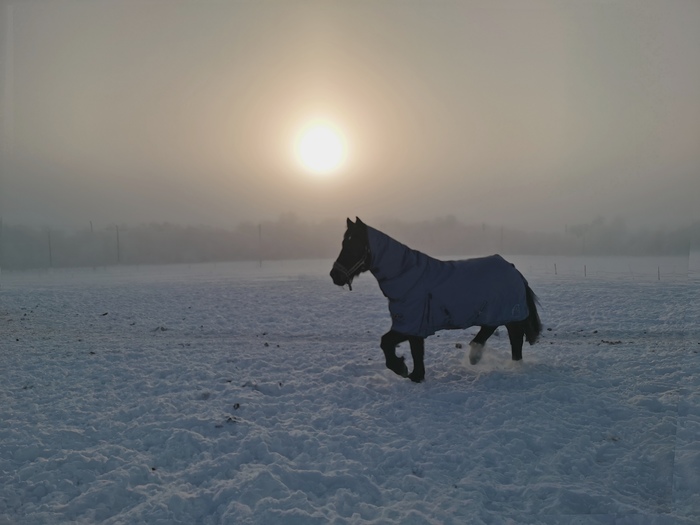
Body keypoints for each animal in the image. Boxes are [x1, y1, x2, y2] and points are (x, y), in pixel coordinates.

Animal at [328, 215, 540, 382]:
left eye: (353, 245)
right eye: (344, 244)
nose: (334, 275)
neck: (408, 276)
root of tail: (512, 268)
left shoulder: (409, 324)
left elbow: (387, 343)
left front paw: (402, 368)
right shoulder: (414, 326)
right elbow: (414, 351)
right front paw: (415, 375)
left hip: (511, 315)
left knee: (514, 340)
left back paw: (509, 366)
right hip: (495, 312)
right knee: (491, 329)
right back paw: (476, 356)